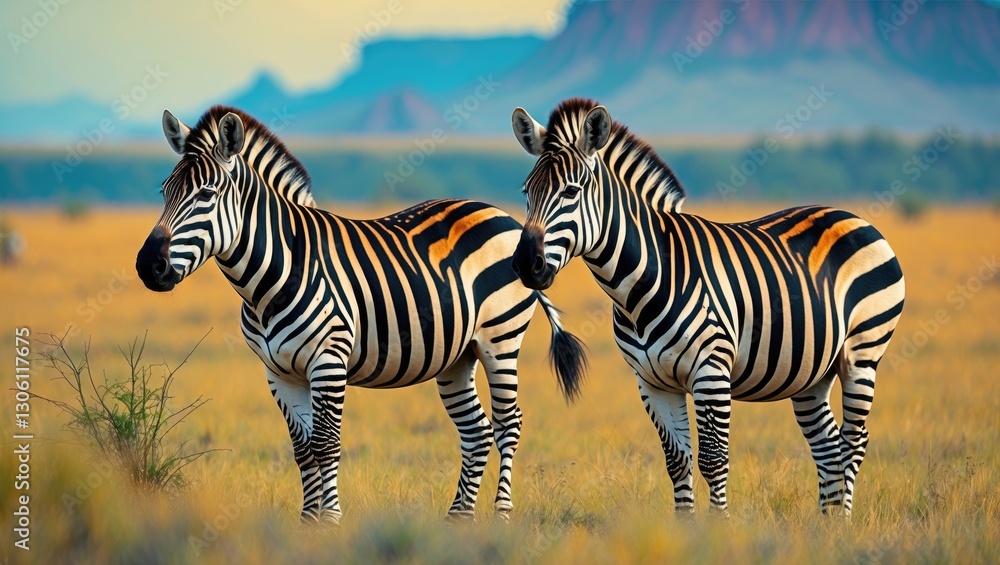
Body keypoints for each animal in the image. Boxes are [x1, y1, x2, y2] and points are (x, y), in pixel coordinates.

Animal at [135, 105, 586, 524]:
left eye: (206, 195)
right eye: (164, 192)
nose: (147, 266)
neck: (272, 278)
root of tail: (505, 216)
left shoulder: (328, 361)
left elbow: (326, 444)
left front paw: (330, 520)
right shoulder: (277, 372)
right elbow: (303, 450)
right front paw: (307, 522)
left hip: (500, 339)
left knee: (508, 424)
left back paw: (501, 515)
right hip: (459, 355)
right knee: (476, 432)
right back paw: (458, 519)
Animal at [508, 98, 904, 517]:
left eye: (571, 191)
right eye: (526, 192)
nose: (525, 264)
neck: (641, 287)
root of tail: (852, 216)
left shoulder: (710, 371)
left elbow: (713, 459)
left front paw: (718, 525)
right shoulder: (651, 381)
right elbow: (677, 461)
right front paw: (687, 525)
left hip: (862, 353)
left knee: (852, 443)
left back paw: (844, 519)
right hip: (813, 372)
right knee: (828, 446)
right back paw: (827, 524)